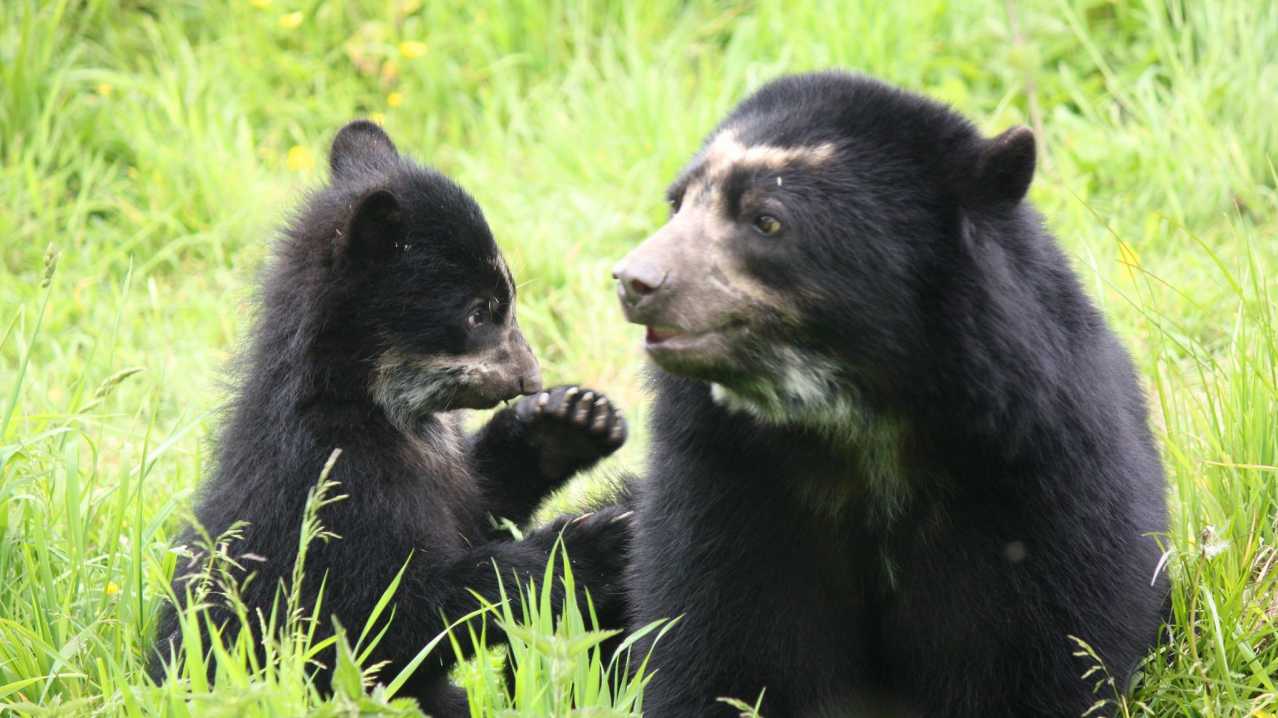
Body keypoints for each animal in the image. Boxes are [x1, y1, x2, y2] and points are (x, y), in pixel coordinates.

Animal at [149, 120, 632, 717]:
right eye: (478, 313)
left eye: (508, 299)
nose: (530, 377)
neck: (388, 413)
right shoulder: (338, 488)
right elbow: (386, 622)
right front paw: (587, 544)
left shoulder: (441, 471)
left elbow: (479, 504)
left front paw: (573, 420)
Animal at [612, 72, 1169, 717]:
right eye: (678, 202)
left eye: (768, 220)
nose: (636, 281)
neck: (860, 420)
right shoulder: (722, 474)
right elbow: (714, 631)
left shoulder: (1039, 475)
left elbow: (1050, 638)